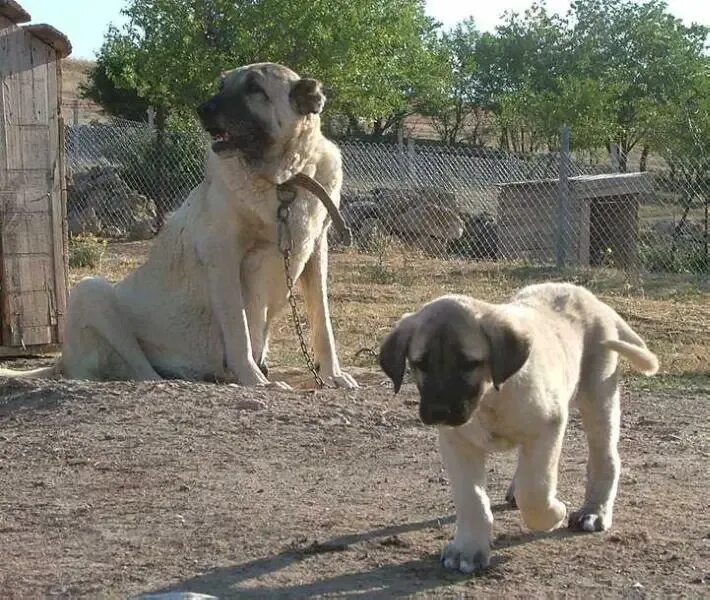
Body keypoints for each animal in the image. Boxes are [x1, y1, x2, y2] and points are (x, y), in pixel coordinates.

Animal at [0, 62, 356, 390]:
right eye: (222, 84)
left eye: (255, 88)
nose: (202, 109)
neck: (285, 181)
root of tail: (61, 360)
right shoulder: (223, 256)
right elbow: (238, 329)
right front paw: (255, 380)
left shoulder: (315, 253)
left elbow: (323, 323)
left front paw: (332, 375)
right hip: (91, 291)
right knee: (141, 370)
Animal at [382, 284, 660, 576]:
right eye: (420, 363)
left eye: (469, 363)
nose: (438, 412)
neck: (490, 399)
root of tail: (589, 297)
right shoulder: (457, 444)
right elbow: (471, 499)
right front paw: (467, 549)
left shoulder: (547, 428)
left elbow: (534, 490)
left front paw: (554, 513)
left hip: (598, 399)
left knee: (605, 458)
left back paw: (594, 511)